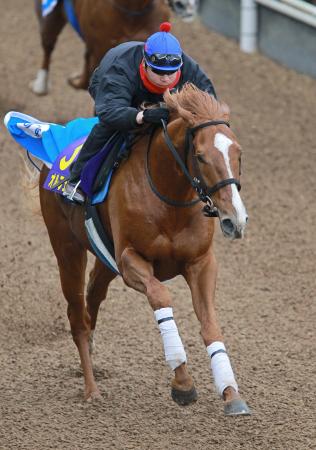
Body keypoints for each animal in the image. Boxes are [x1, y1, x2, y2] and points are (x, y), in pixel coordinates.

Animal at [37, 83, 249, 414]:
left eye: (238, 154)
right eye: (200, 156)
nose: (235, 220)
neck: (169, 197)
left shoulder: (201, 262)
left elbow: (210, 323)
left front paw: (230, 392)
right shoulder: (130, 261)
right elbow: (161, 297)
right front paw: (183, 383)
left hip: (103, 258)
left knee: (92, 296)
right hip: (67, 248)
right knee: (76, 315)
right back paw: (91, 389)